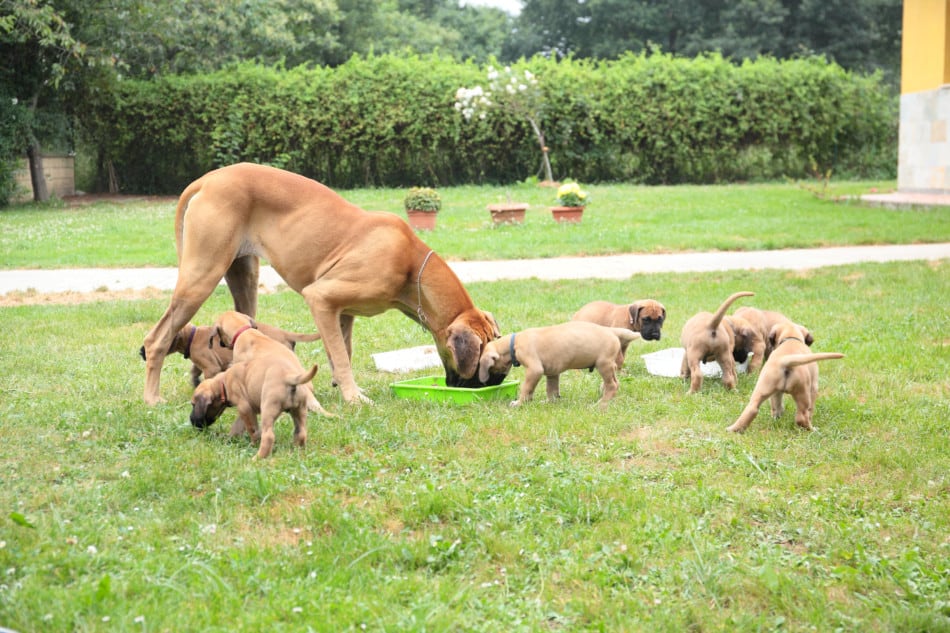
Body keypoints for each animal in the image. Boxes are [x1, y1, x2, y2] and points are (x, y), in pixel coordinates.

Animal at [141, 160, 506, 402]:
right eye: (486, 356)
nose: (499, 381)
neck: (411, 265)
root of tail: (207, 179)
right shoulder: (320, 297)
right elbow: (341, 357)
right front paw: (353, 396)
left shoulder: (342, 312)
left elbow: (340, 349)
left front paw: (344, 387)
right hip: (201, 277)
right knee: (157, 339)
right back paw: (152, 398)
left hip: (244, 279)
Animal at [191, 360, 330, 460]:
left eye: (193, 404)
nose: (192, 422)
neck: (223, 382)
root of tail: (289, 377)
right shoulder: (246, 412)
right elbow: (238, 426)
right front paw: (231, 439)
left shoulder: (244, 408)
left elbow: (252, 430)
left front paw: (253, 443)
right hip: (299, 411)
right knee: (301, 432)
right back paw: (296, 451)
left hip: (268, 410)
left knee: (268, 436)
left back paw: (257, 457)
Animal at [480, 320, 644, 404]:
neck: (514, 343)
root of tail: (612, 331)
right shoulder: (552, 373)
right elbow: (551, 389)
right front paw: (549, 402)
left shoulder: (534, 370)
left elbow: (526, 388)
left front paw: (520, 403)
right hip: (609, 365)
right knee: (615, 381)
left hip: (603, 364)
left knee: (613, 385)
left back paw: (601, 404)